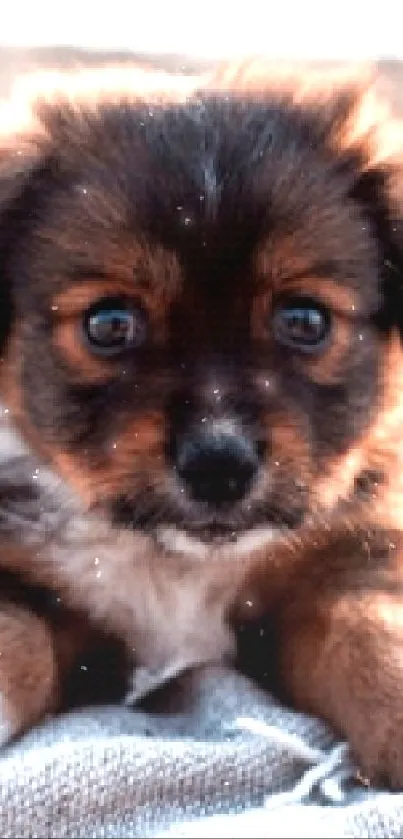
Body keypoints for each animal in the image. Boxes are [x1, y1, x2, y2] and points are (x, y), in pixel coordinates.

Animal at [0, 60, 403, 788]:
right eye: (109, 323)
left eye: (304, 319)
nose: (219, 465)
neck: (178, 563)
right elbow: (16, 633)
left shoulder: (354, 552)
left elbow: (368, 629)